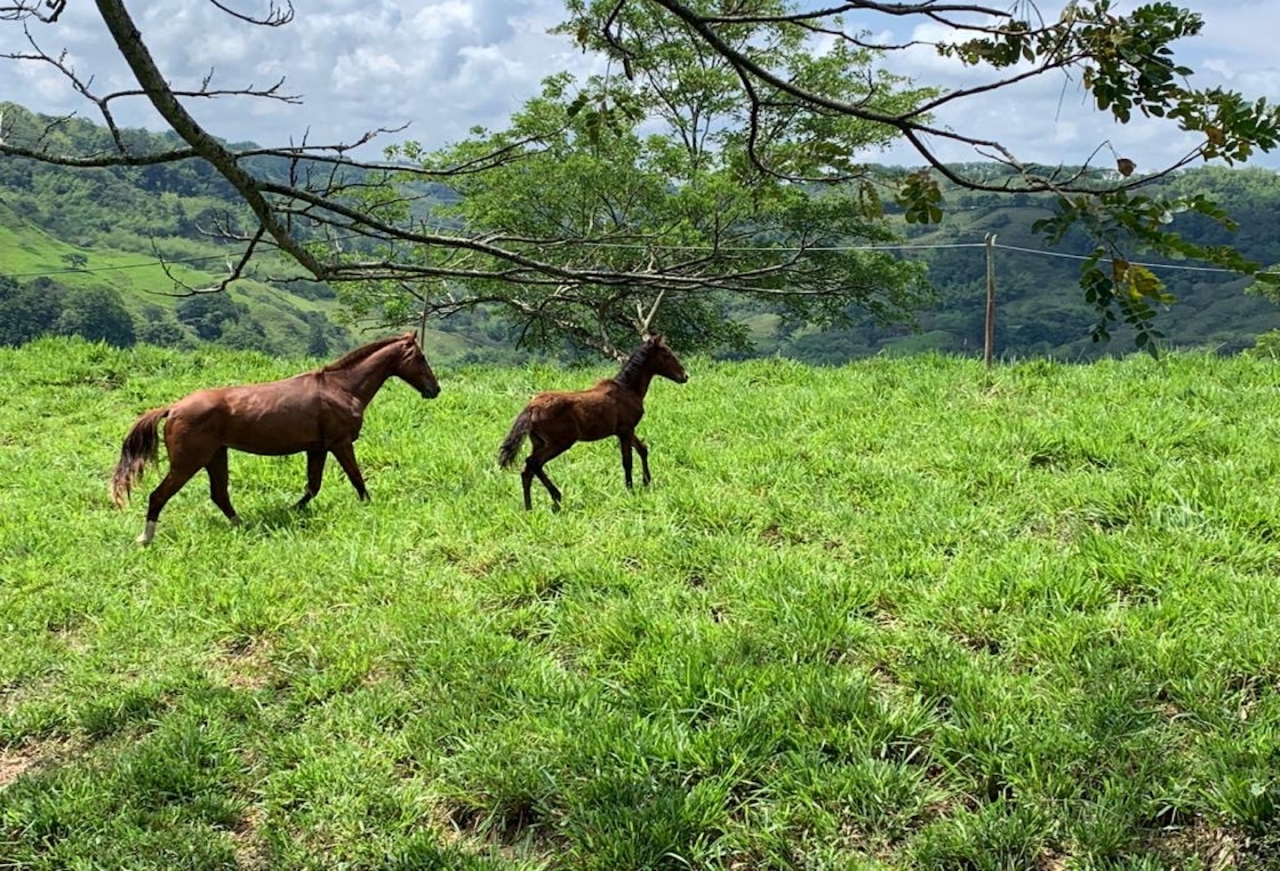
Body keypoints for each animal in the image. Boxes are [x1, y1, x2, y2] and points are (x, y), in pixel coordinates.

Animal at [111, 333, 440, 543]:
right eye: (421, 357)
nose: (435, 390)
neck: (341, 388)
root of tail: (173, 408)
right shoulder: (340, 443)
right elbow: (356, 479)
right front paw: (367, 506)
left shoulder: (317, 449)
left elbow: (313, 486)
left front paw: (290, 510)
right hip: (188, 463)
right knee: (159, 496)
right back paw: (145, 538)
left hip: (216, 456)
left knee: (219, 495)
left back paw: (243, 526)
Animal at [494, 333, 686, 509]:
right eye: (667, 354)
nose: (685, 376)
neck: (628, 389)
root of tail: (531, 407)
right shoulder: (625, 430)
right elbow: (627, 461)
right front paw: (630, 489)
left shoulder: (626, 430)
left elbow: (643, 449)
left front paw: (646, 482)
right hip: (560, 442)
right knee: (533, 463)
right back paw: (557, 497)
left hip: (538, 442)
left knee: (527, 471)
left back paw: (529, 508)